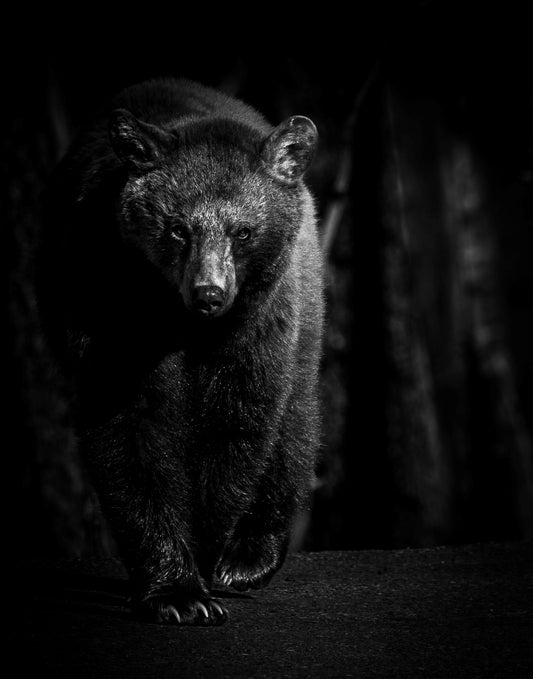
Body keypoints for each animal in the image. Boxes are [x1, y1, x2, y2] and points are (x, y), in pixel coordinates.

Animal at [38, 77, 324, 625]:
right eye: (178, 227)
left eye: (243, 231)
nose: (208, 294)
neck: (181, 322)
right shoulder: (106, 293)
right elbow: (128, 420)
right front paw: (176, 591)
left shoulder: (257, 319)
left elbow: (237, 420)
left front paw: (209, 566)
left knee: (295, 412)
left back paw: (249, 558)